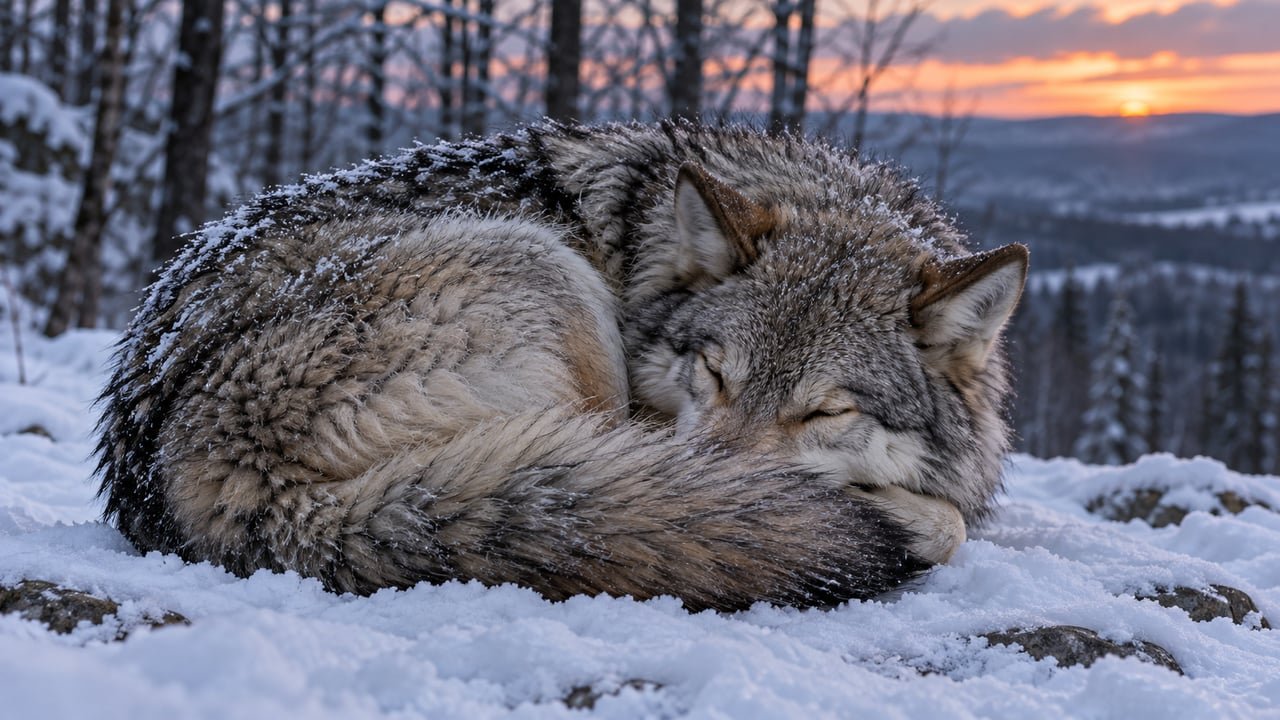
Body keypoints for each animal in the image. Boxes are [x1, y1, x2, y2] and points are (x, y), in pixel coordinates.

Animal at [96, 122, 1027, 612]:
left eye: (825, 412)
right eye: (714, 374)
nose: (733, 484)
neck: (645, 259)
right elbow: (949, 520)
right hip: (546, 272)